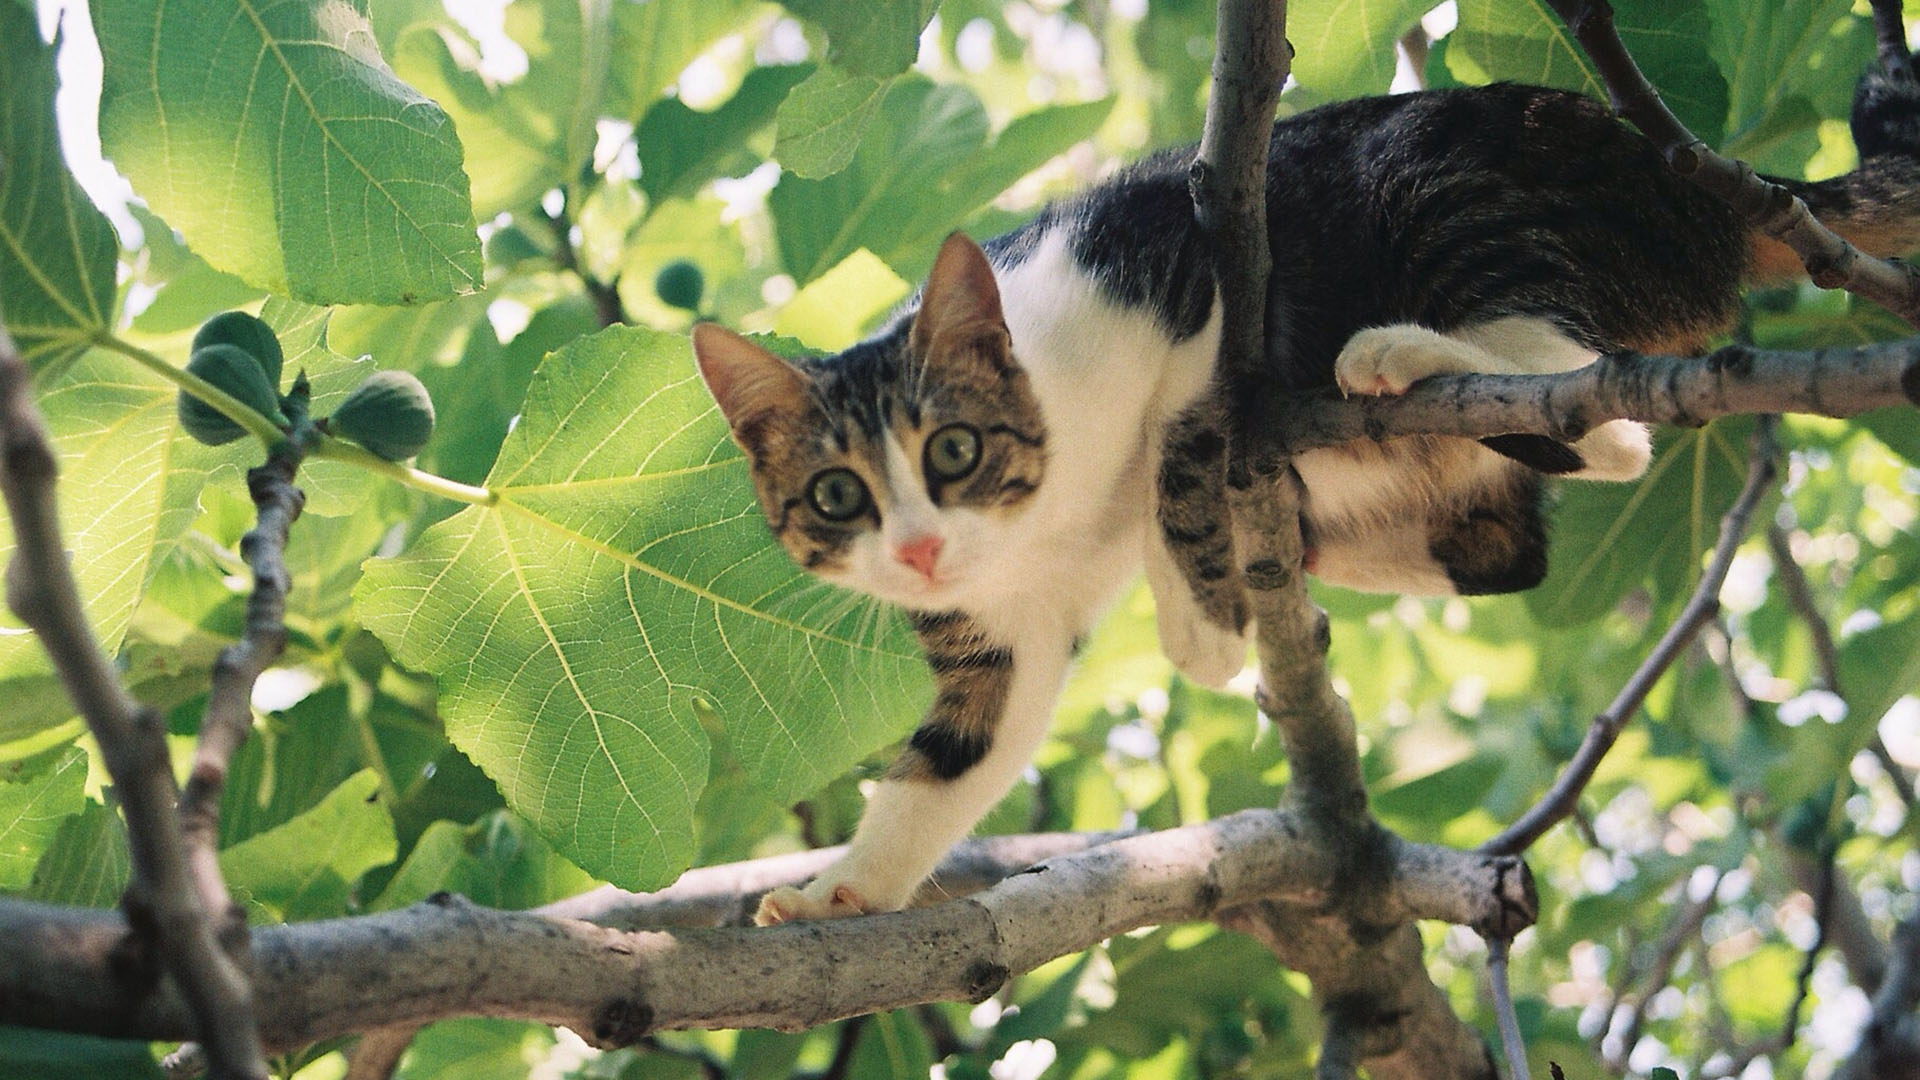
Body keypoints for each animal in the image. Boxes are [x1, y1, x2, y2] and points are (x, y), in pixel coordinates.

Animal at [698, 73, 1920, 914]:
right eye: (837, 498)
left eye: (952, 450)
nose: (915, 551)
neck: (1042, 517)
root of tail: (1701, 181)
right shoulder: (1000, 629)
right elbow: (961, 752)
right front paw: (841, 892)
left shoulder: (1180, 263)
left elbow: (1181, 428)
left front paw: (1198, 615)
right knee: (1509, 543)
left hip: (1440, 181)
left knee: (1604, 418)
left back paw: (1395, 360)